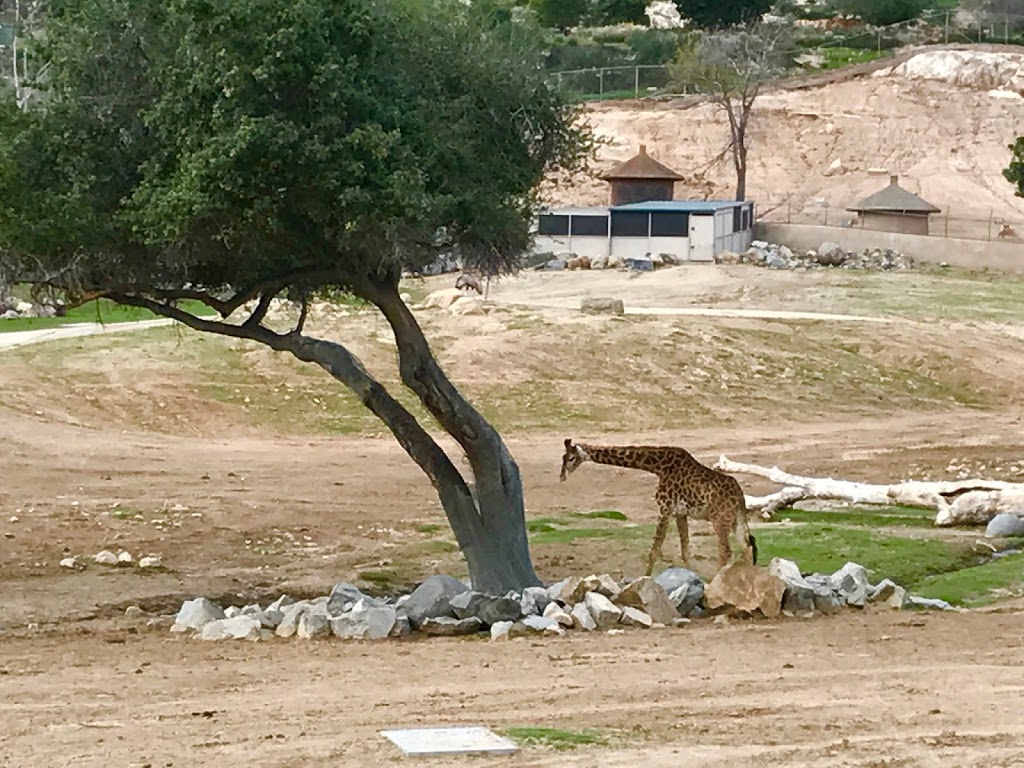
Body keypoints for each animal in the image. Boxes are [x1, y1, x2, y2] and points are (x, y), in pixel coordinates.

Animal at [561, 438, 753, 577]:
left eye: (571, 458)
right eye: (563, 458)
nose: (562, 476)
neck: (658, 467)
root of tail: (739, 496)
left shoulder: (664, 509)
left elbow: (654, 550)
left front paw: (645, 578)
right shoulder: (680, 513)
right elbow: (685, 550)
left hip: (719, 519)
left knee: (726, 550)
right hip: (736, 519)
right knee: (747, 547)